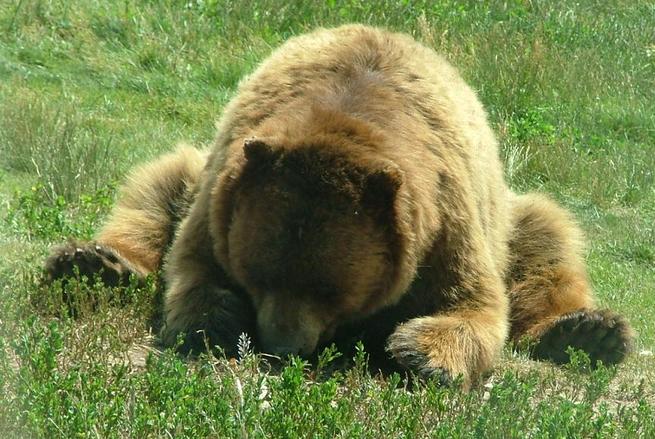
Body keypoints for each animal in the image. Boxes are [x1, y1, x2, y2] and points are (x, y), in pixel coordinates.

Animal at [46, 25, 636, 386]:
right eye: (259, 275)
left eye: (330, 289)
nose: (282, 346)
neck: (348, 114)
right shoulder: (220, 196)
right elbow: (191, 269)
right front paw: (217, 319)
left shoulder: (444, 223)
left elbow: (472, 304)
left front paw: (418, 351)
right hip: (195, 174)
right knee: (156, 187)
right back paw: (93, 262)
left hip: (508, 218)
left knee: (547, 236)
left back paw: (590, 331)